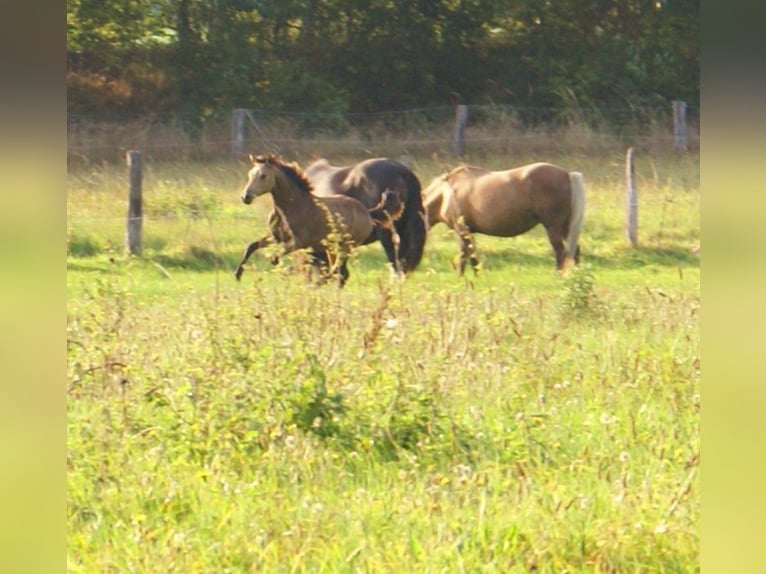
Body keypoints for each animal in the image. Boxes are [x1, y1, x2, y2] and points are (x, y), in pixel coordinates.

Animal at [234, 155, 404, 288]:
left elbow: (275, 258)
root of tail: (368, 212)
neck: (292, 206)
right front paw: (237, 274)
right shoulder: (276, 237)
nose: (245, 197)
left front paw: (289, 270)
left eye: (263, 175)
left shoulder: (298, 242)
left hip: (346, 246)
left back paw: (315, 284)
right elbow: (252, 246)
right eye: (250, 174)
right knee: (340, 272)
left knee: (337, 270)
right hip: (332, 248)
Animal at [426, 163, 588, 276]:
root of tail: (567, 174)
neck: (445, 194)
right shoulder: (468, 231)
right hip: (566, 226)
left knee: (560, 252)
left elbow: (465, 256)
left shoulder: (462, 230)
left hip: (553, 227)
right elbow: (469, 256)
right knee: (575, 251)